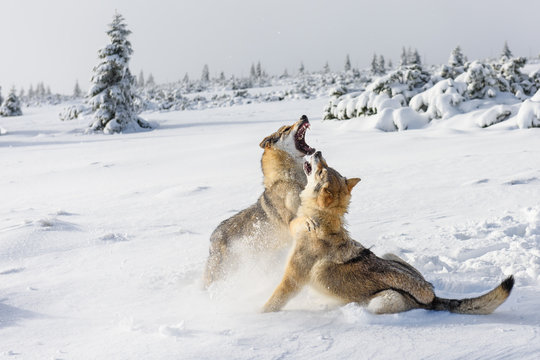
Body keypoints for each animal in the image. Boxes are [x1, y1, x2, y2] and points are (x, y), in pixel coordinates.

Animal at [264, 150, 516, 314]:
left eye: (321, 168)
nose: (317, 151)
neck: (321, 222)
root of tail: (432, 297)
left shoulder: (292, 279)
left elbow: (273, 302)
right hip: (390, 255)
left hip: (381, 302)